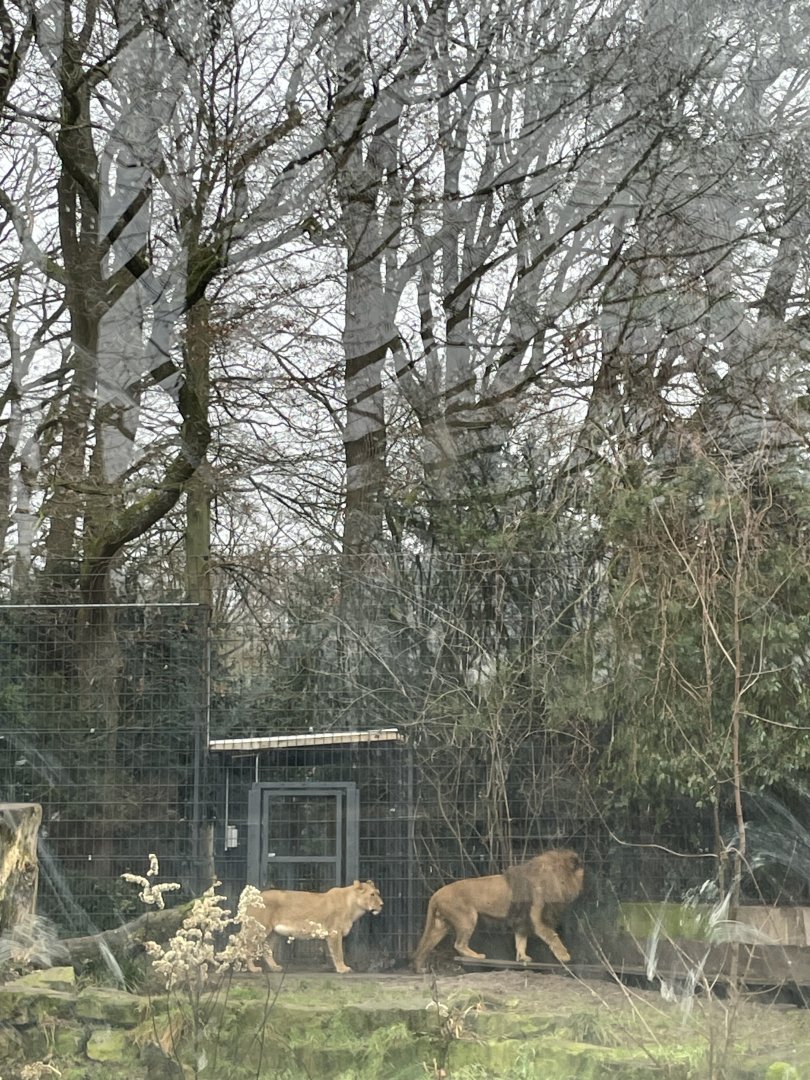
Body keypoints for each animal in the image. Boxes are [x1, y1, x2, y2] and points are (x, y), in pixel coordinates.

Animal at [245, 879, 383, 974]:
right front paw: (342, 969)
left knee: (266, 950)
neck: (353, 907)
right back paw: (252, 969)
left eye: (378, 893)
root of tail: (254, 896)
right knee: (245, 946)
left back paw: (275, 967)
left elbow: (332, 952)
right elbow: (338, 953)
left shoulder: (329, 935)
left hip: (273, 933)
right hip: (257, 929)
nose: (382, 904)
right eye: (372, 894)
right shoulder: (334, 932)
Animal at [412, 849, 583, 973]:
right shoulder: (536, 916)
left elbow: (521, 940)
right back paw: (477, 956)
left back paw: (420, 968)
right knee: (459, 944)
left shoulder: (522, 919)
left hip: (440, 925)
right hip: (467, 918)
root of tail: (436, 894)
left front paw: (522, 958)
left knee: (426, 946)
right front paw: (564, 956)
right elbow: (552, 936)